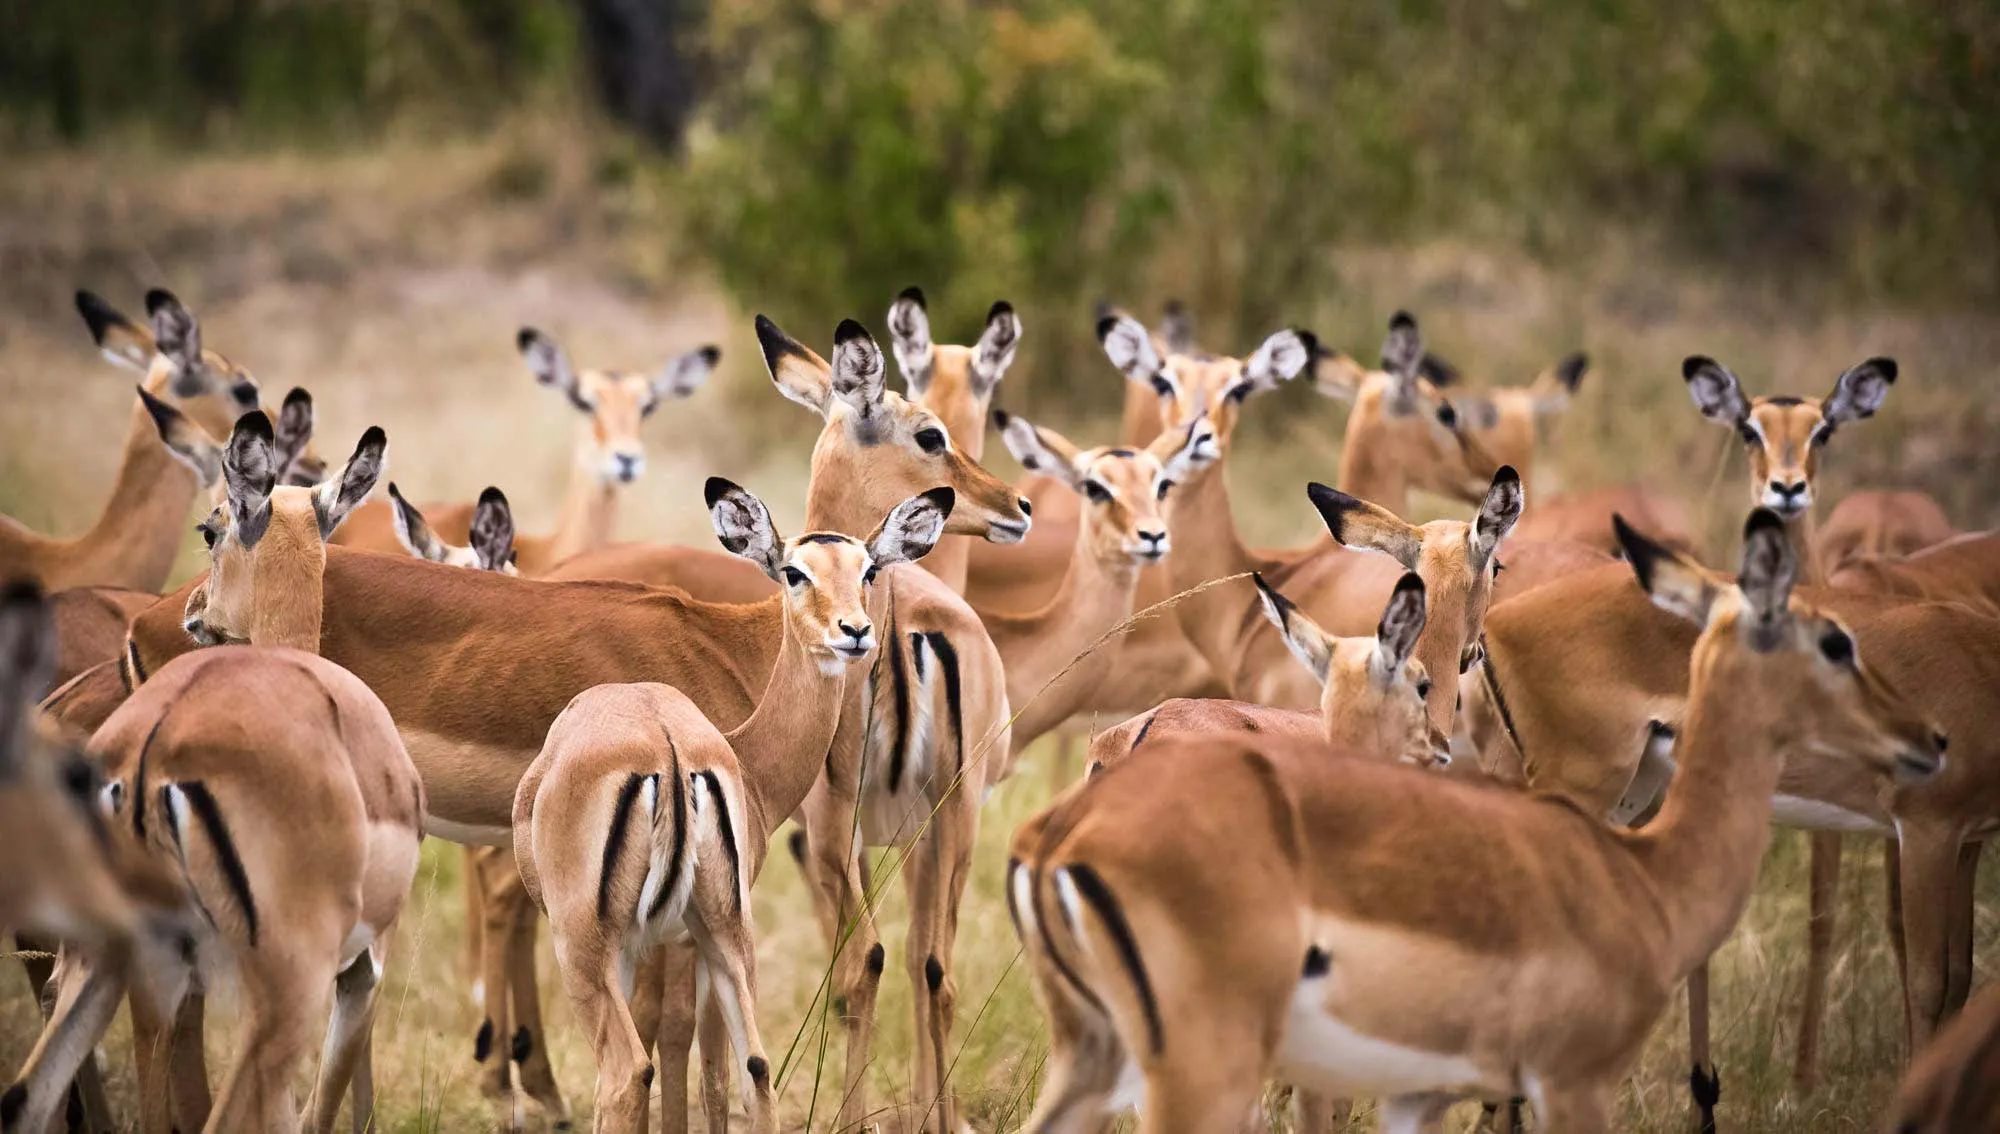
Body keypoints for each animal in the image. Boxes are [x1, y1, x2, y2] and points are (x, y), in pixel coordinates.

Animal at [9, 413, 425, 1134]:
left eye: (211, 529)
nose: (193, 611)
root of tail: (155, 745)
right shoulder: (361, 970)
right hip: (279, 993)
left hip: (116, 960)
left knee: (36, 1092)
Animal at [514, 480, 951, 1133]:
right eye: (795, 571)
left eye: (868, 569)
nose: (853, 631)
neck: (749, 763)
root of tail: (667, 747)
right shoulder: (689, 940)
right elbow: (711, 1066)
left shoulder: (653, 945)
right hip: (726, 931)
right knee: (758, 1067)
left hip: (586, 947)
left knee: (624, 1073)